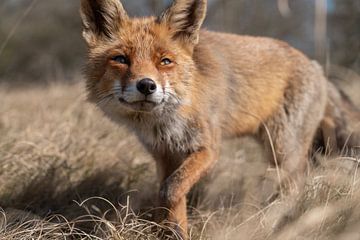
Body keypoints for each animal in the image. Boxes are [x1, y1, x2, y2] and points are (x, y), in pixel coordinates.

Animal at [81, 0, 360, 237]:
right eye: (121, 59)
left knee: (295, 188)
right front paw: (174, 232)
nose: (147, 85)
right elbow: (170, 197)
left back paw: (269, 223)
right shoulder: (165, 155)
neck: (164, 123)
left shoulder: (208, 148)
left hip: (283, 148)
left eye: (165, 61)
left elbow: (171, 190)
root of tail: (317, 67)